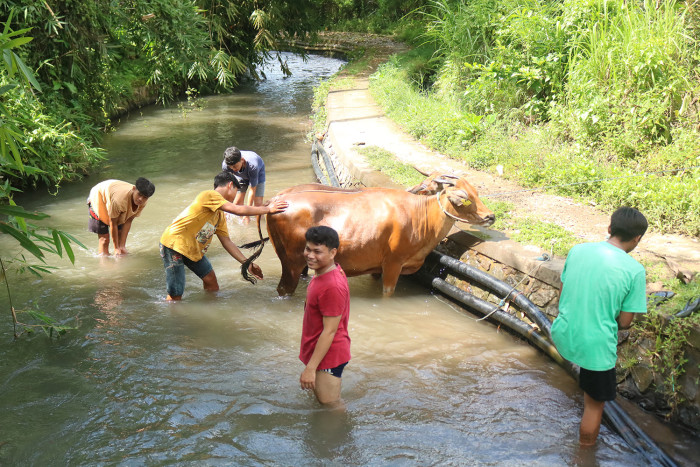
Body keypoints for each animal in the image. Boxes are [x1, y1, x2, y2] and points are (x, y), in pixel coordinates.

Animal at [264, 174, 498, 298]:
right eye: (466, 198)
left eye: (477, 193)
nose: (491, 216)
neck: (420, 217)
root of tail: (275, 201)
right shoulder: (394, 263)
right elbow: (387, 294)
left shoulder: (376, 266)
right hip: (292, 263)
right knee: (284, 288)